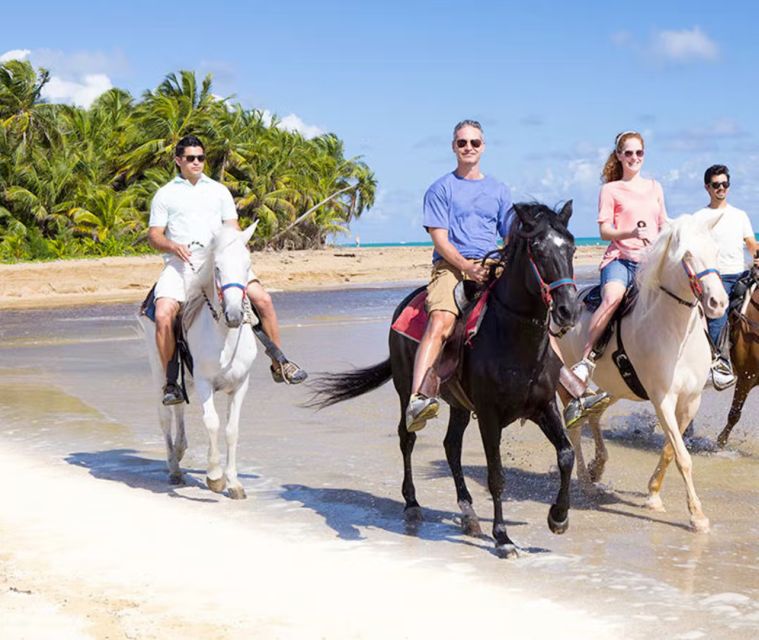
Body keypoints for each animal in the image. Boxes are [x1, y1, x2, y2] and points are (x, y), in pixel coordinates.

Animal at [141, 225, 260, 500]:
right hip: (159, 369)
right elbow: (212, 423)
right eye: (217, 267)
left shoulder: (241, 385)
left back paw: (180, 450)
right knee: (166, 415)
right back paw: (174, 468)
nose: (235, 315)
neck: (224, 337)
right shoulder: (205, 383)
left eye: (248, 264)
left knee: (179, 407)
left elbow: (231, 430)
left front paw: (234, 483)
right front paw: (215, 478)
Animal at [308, 202, 580, 556]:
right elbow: (496, 476)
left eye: (572, 248)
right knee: (407, 438)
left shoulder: (543, 406)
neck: (512, 338)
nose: (568, 310)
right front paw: (503, 537)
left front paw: (558, 517)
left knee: (451, 446)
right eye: (537, 249)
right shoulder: (489, 416)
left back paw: (468, 513)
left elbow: (566, 455)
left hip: (460, 405)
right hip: (406, 390)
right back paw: (412, 503)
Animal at [560, 212, 732, 532]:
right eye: (687, 255)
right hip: (567, 382)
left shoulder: (690, 400)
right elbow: (682, 456)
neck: (675, 333)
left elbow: (670, 449)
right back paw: (587, 482)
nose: (718, 303)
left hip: (613, 387)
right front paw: (697, 516)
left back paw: (598, 467)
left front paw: (653, 495)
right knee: (575, 426)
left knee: (594, 415)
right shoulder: (662, 398)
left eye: (715, 251)